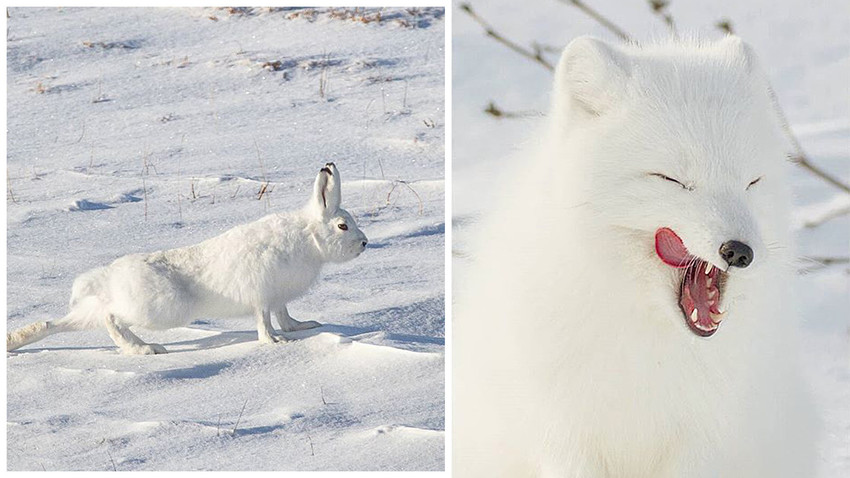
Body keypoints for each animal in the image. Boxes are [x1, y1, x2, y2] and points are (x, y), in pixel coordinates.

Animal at [6, 164, 366, 354]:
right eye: (342, 226)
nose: (364, 243)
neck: (307, 239)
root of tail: (108, 279)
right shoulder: (261, 295)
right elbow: (264, 321)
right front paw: (276, 342)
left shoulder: (279, 297)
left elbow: (285, 315)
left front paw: (303, 327)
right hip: (160, 309)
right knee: (111, 319)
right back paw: (147, 349)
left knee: (58, 324)